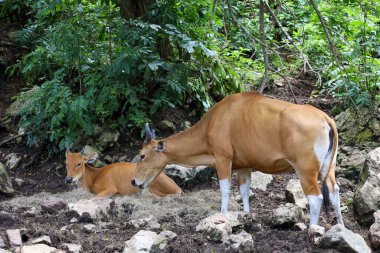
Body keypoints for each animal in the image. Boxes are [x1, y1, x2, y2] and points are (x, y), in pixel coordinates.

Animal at [131, 92, 344, 232]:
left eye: (142, 155)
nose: (133, 181)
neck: (209, 126)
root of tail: (324, 117)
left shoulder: (223, 158)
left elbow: (225, 189)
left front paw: (223, 215)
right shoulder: (244, 165)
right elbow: (244, 190)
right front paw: (246, 216)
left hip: (305, 169)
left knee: (316, 198)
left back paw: (313, 229)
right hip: (328, 168)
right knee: (334, 191)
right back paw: (340, 226)